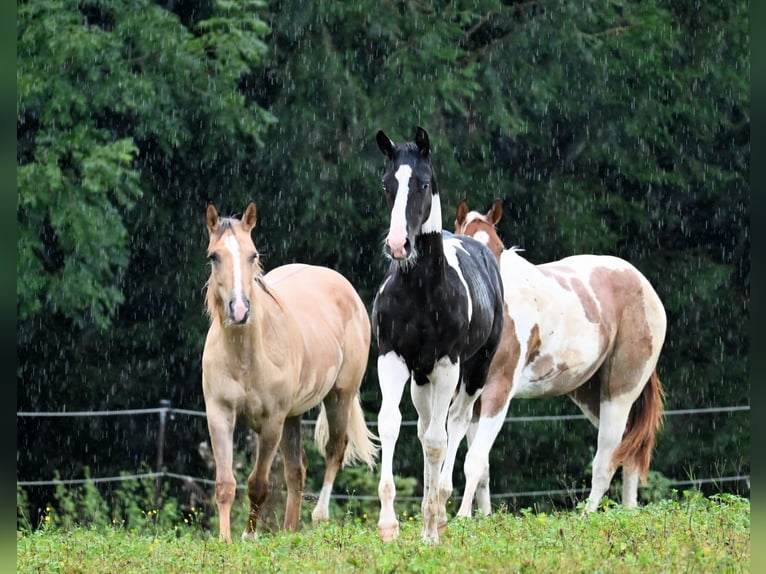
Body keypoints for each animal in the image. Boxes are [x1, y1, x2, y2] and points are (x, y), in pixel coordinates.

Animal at [204, 204, 378, 544]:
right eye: (214, 256)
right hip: (293, 417)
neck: (244, 357)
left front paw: (248, 537)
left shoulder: (272, 421)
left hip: (339, 397)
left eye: (253, 255)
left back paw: (319, 516)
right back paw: (288, 531)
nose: (239, 310)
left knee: (334, 451)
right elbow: (225, 484)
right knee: (297, 471)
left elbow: (258, 484)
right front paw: (225, 539)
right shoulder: (219, 414)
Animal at [374, 127, 508, 544]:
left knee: (456, 424)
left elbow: (439, 440)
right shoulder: (392, 358)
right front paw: (389, 524)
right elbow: (390, 424)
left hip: (475, 370)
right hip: (421, 375)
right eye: (387, 184)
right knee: (422, 426)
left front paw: (431, 529)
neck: (421, 289)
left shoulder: (448, 365)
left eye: (422, 182)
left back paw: (441, 512)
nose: (398, 245)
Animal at [456, 201, 664, 516]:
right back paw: (629, 513)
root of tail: (642, 283)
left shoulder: (498, 392)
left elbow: (474, 461)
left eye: (500, 248)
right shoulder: (471, 399)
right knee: (627, 449)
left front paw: (461, 518)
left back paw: (588, 516)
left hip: (619, 394)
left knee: (606, 459)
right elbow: (480, 468)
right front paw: (480, 518)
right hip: (590, 394)